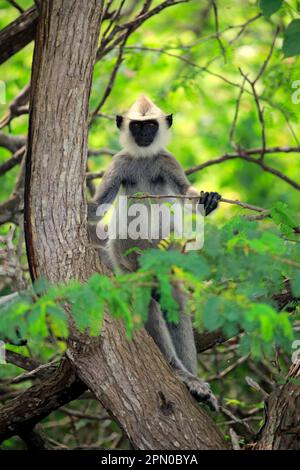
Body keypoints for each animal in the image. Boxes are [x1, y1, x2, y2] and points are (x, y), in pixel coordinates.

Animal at [92, 95, 221, 412]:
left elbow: (186, 192)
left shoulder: (166, 160)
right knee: (146, 301)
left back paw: (194, 383)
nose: (144, 135)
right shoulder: (120, 162)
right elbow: (97, 206)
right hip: (128, 267)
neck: (143, 158)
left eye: (150, 125)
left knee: (174, 300)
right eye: (138, 126)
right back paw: (180, 373)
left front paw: (208, 201)